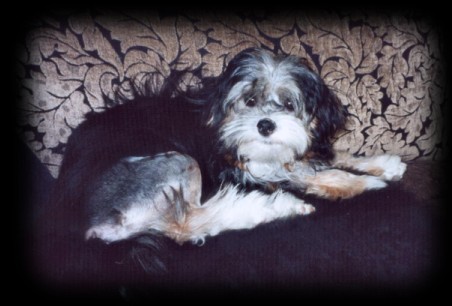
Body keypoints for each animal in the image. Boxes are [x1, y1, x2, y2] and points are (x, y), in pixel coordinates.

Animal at [56, 48, 406, 249]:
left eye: (288, 104)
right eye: (249, 100)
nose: (265, 125)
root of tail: (86, 225)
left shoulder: (300, 151)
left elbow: (333, 156)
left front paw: (385, 164)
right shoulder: (251, 167)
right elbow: (319, 174)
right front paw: (368, 183)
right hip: (175, 162)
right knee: (186, 224)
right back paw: (280, 206)